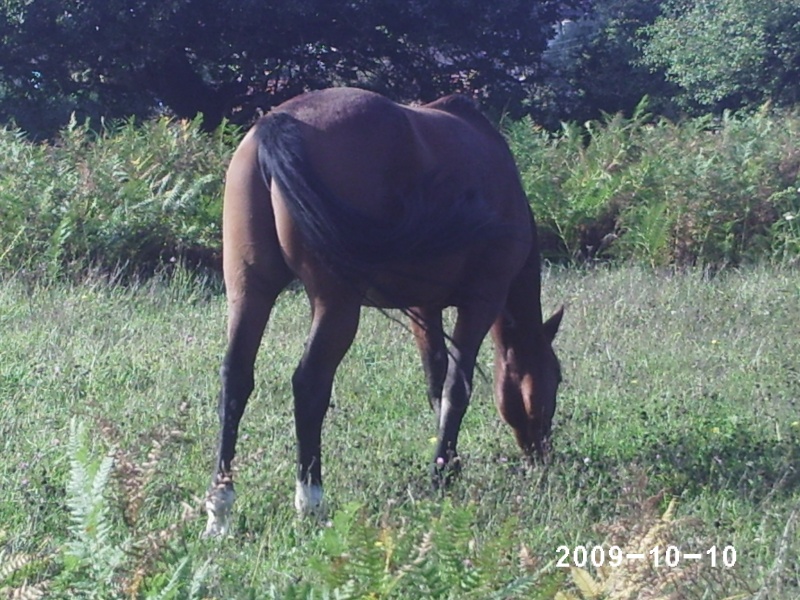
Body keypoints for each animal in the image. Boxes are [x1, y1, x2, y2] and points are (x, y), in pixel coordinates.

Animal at [205, 86, 564, 536]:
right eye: (557, 379)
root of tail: (278, 123)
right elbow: (456, 387)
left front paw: (449, 461)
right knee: (309, 384)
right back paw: (311, 500)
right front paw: (441, 474)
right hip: (336, 306)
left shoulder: (423, 309)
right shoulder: (481, 302)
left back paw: (220, 508)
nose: (542, 453)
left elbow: (435, 384)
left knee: (235, 379)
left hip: (249, 292)